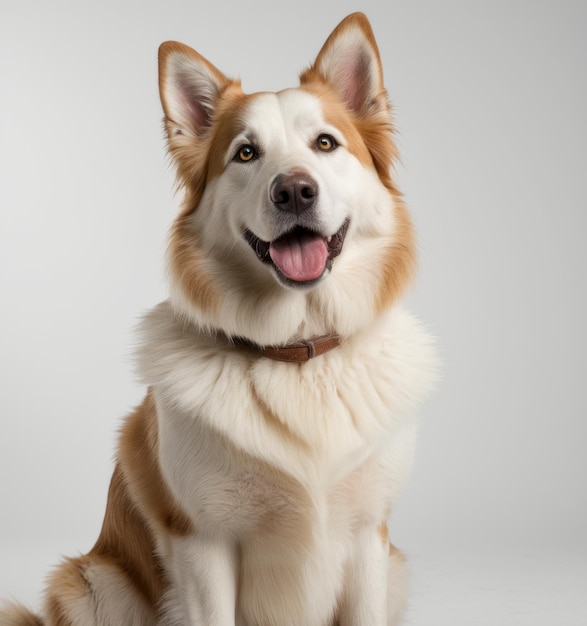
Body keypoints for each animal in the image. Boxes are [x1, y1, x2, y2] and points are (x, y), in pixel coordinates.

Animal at [1, 11, 436, 624]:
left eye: (326, 143)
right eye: (246, 154)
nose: (294, 191)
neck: (295, 355)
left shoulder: (370, 536)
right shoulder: (203, 541)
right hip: (90, 582)